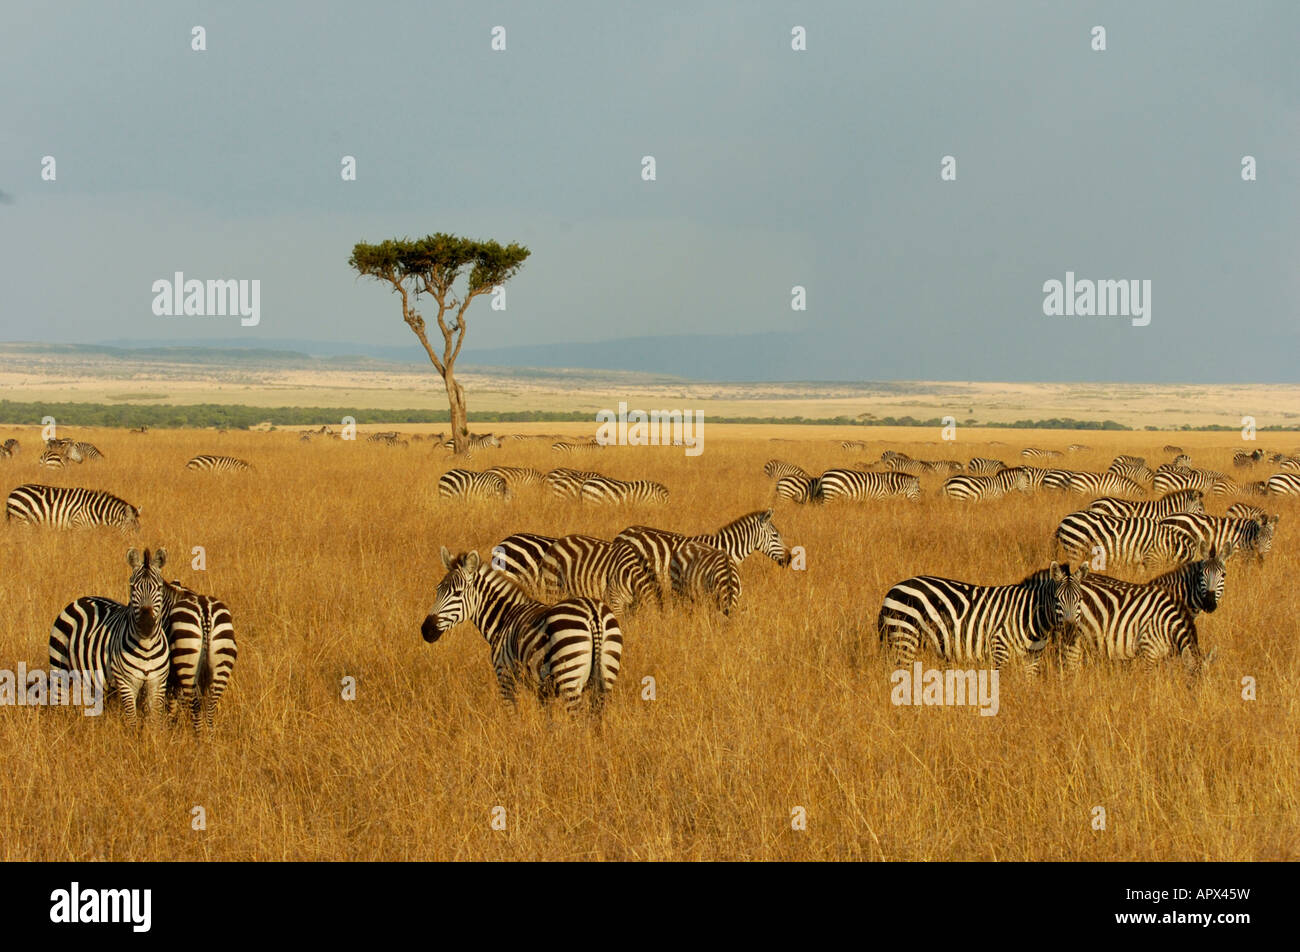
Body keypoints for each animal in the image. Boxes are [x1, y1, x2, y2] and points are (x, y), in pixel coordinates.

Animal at [6, 484, 140, 532]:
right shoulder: (77, 525)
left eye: (139, 529)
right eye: (132, 528)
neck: (95, 510)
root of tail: (13, 491)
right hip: (22, 520)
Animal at [48, 548, 171, 723]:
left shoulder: (158, 683)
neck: (146, 647)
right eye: (132, 587)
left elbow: (155, 721)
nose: (147, 625)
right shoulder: (126, 684)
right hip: (59, 666)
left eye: (159, 587)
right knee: (58, 699)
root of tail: (81, 599)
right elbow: (132, 721)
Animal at [422, 548, 623, 712]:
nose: (426, 630)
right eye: (437, 590)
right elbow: (548, 721)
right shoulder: (543, 690)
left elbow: (512, 716)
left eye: (457, 593)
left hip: (570, 679)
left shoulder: (505, 676)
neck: (505, 617)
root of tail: (593, 612)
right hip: (605, 677)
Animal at [877, 562, 1083, 671]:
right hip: (905, 637)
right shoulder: (1000, 647)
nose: (1070, 630)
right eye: (1056, 599)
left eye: (1080, 600)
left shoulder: (1032, 658)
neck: (1030, 615)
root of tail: (893, 589)